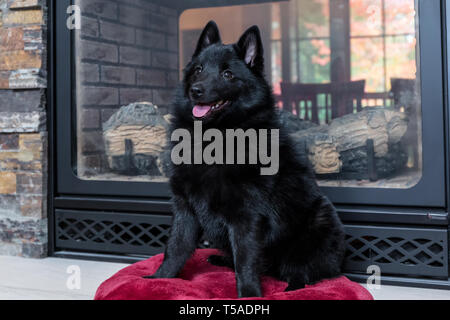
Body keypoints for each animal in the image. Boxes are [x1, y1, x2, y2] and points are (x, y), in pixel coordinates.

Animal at [144, 21, 344, 298]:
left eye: (228, 74)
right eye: (198, 69)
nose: (196, 91)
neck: (214, 139)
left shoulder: (245, 217)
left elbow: (246, 260)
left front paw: (249, 293)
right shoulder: (185, 209)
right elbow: (175, 248)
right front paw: (159, 279)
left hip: (319, 220)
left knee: (302, 272)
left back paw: (292, 286)